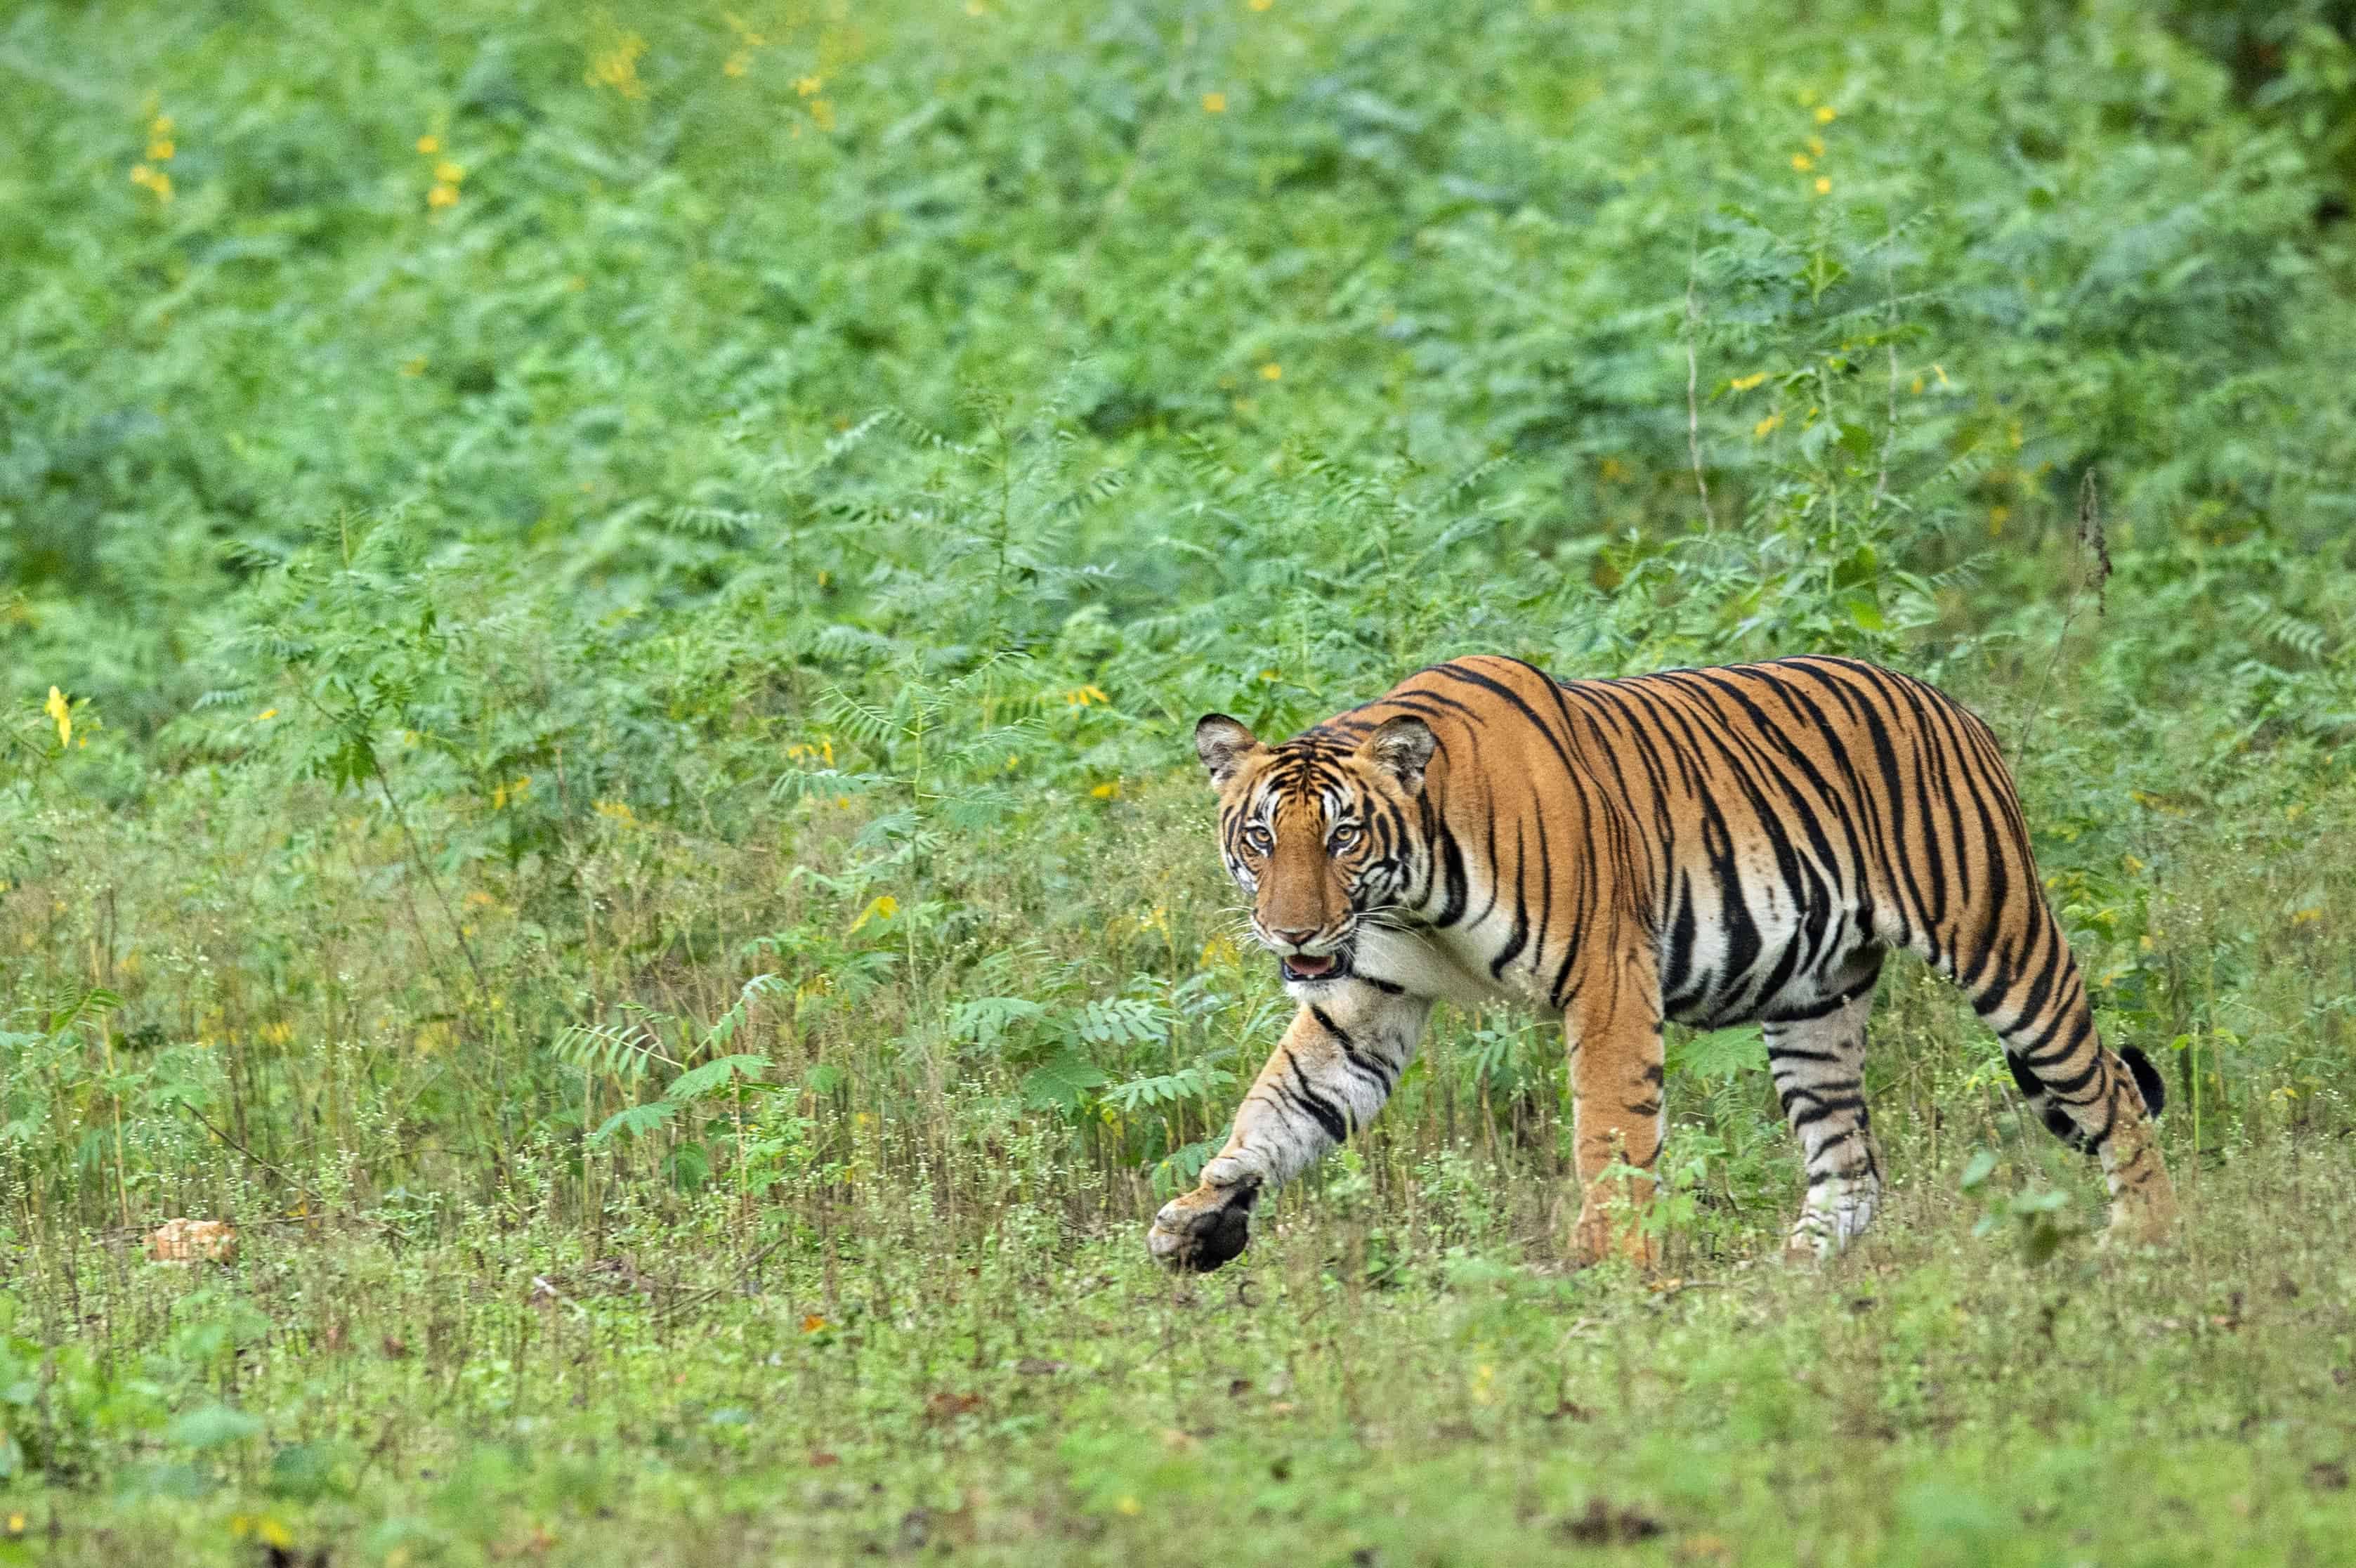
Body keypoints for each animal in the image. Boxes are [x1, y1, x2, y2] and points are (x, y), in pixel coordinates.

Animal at [1146, 654, 2175, 1272]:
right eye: (1260, 839)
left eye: (1342, 838)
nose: (1291, 933)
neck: (1412, 896)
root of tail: (1949, 703)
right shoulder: (1364, 1001)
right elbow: (1280, 1109)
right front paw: (1202, 1213)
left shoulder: (1606, 978)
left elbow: (1608, 1130)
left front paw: (1606, 1263)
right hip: (1813, 1004)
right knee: (1851, 1162)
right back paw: (1792, 1276)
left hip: (2000, 942)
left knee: (2110, 1089)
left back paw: (2142, 1239)